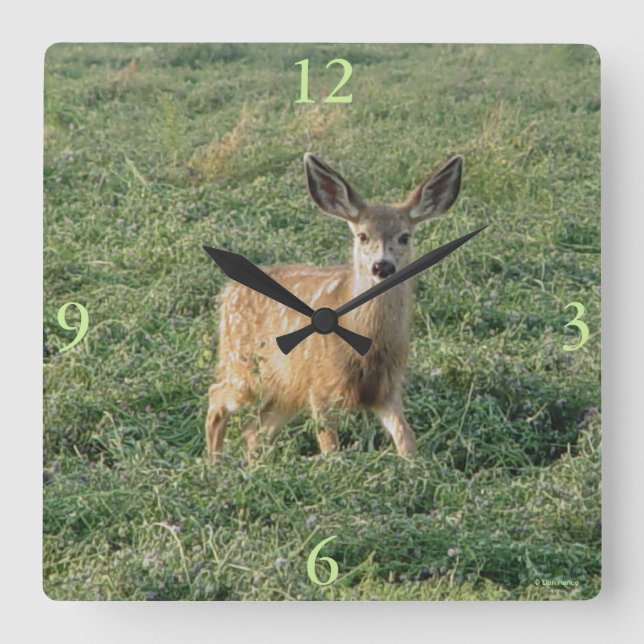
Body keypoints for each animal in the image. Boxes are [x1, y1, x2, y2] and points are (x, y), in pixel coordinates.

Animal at [205, 152, 464, 463]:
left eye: (404, 236)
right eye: (362, 236)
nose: (382, 266)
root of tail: (227, 293)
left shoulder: (386, 389)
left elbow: (406, 438)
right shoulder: (320, 385)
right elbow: (330, 448)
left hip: (285, 387)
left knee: (254, 431)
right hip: (244, 366)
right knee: (217, 397)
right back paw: (214, 464)